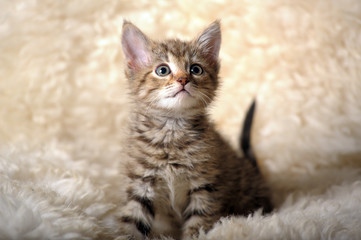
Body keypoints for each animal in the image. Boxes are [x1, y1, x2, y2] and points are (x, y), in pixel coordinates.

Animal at [119, 21, 272, 240]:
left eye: (196, 69)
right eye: (162, 70)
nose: (183, 79)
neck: (172, 130)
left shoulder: (205, 187)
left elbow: (198, 225)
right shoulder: (140, 184)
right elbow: (131, 223)